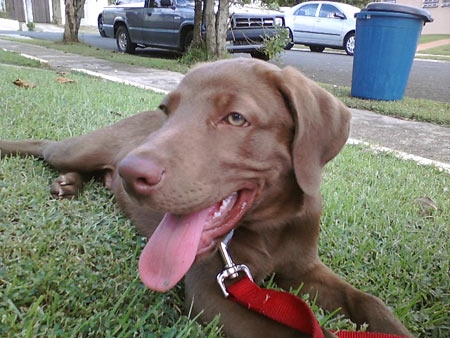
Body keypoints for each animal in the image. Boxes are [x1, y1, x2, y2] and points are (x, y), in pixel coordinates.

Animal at [0, 59, 414, 336]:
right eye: (166, 111)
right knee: (43, 146)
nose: (130, 173)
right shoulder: (211, 292)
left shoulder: (304, 269)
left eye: (235, 118)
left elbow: (369, 301)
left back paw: (70, 184)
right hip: (79, 149)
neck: (271, 225)